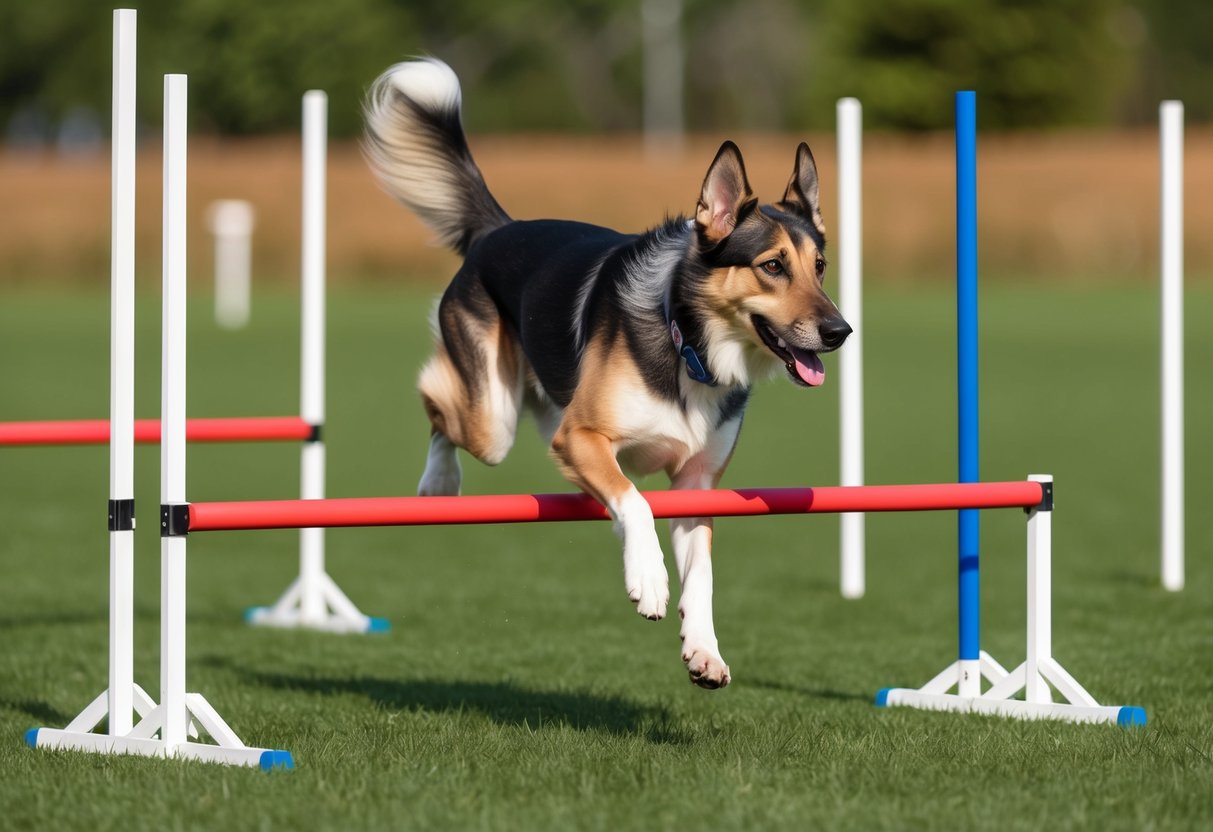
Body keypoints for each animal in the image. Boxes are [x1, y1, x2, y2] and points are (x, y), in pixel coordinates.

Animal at [361, 55, 853, 688]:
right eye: (772, 267)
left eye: (820, 267)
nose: (840, 332)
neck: (689, 345)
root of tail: (497, 228)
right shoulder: (584, 437)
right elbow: (634, 499)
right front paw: (648, 580)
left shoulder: (695, 484)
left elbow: (701, 574)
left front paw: (704, 649)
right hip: (493, 420)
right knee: (438, 403)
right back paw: (439, 481)